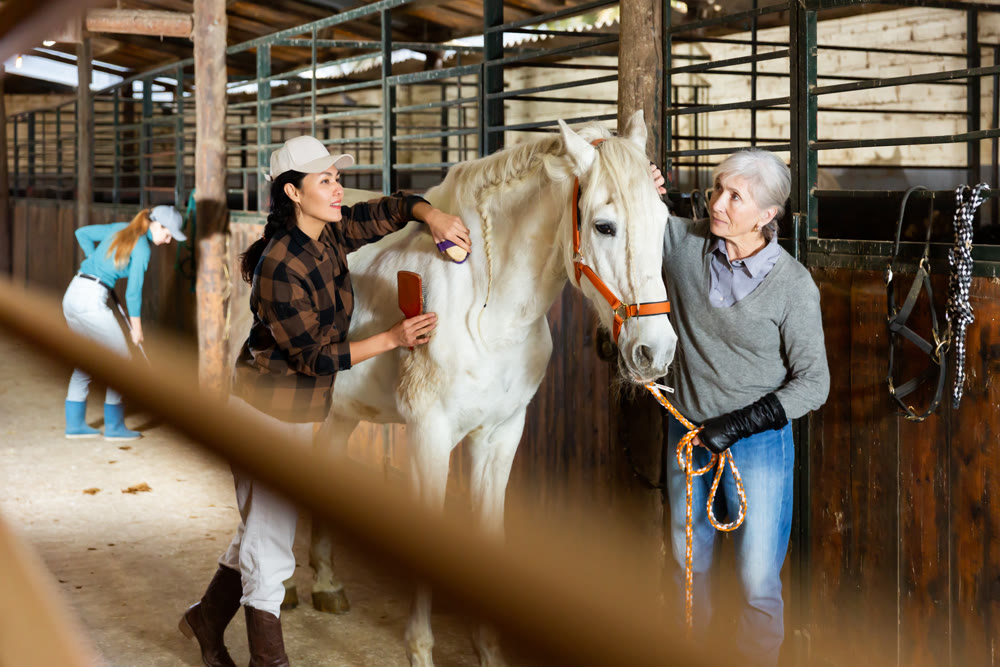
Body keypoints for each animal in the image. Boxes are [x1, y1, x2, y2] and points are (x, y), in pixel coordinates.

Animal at [234, 111, 677, 666]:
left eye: (664, 220)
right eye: (604, 226)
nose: (655, 351)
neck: (485, 313)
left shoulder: (501, 435)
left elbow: (490, 533)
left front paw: (488, 648)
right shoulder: (430, 435)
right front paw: (421, 649)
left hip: (341, 412)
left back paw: (327, 583)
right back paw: (285, 589)